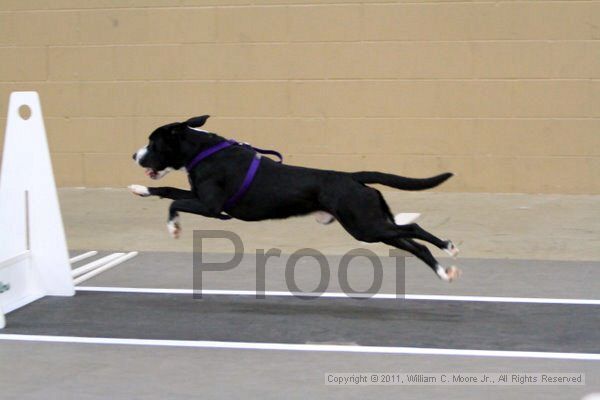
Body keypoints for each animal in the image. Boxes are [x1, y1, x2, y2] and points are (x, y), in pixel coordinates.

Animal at [130, 115, 460, 282]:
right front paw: (139, 189)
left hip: (365, 225)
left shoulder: (210, 207)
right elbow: (168, 191)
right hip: (371, 225)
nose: (134, 155)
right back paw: (444, 270)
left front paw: (174, 227)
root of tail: (353, 177)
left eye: (153, 143)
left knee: (413, 230)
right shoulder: (198, 197)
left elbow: (174, 202)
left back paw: (449, 247)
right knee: (413, 244)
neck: (203, 151)